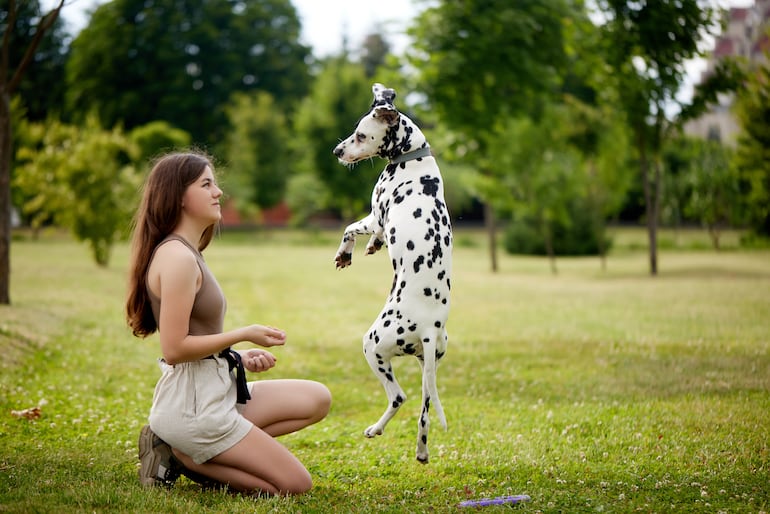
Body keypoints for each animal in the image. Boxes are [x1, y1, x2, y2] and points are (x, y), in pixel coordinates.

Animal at [330, 83, 450, 460]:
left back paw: (376, 429)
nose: (337, 151)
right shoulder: (380, 223)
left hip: (373, 347)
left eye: (360, 135)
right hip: (429, 367)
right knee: (423, 413)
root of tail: (428, 327)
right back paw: (420, 451)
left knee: (398, 396)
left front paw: (346, 254)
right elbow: (373, 236)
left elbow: (350, 229)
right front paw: (374, 246)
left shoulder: (376, 215)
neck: (412, 158)